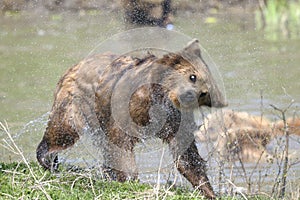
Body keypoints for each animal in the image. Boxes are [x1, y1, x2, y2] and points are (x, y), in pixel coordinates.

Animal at [36, 39, 226, 198]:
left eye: (206, 88)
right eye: (192, 77)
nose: (197, 95)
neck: (158, 99)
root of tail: (74, 66)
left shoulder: (175, 120)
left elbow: (186, 154)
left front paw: (209, 190)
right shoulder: (127, 111)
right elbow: (121, 145)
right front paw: (129, 180)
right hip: (77, 102)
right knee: (64, 130)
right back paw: (47, 158)